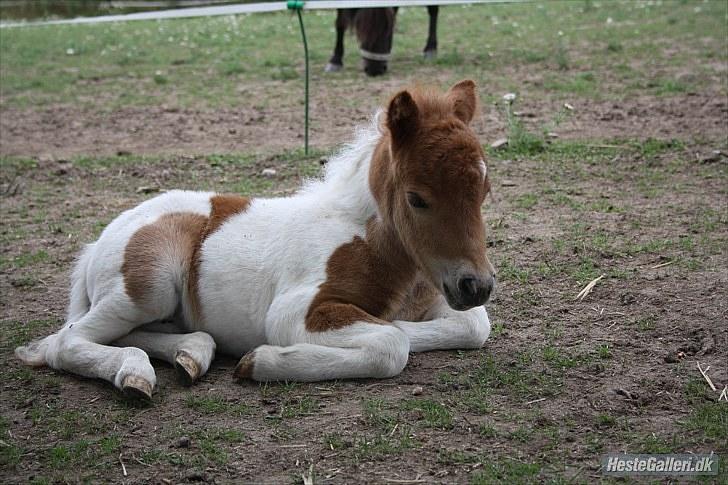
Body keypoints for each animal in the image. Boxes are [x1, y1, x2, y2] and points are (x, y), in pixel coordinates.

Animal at [15, 78, 494, 398]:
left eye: (485, 190)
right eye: (417, 198)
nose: (477, 285)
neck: (369, 240)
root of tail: (97, 243)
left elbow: (473, 325)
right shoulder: (293, 313)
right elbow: (393, 344)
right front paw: (261, 360)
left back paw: (193, 353)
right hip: (149, 287)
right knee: (65, 342)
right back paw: (137, 373)